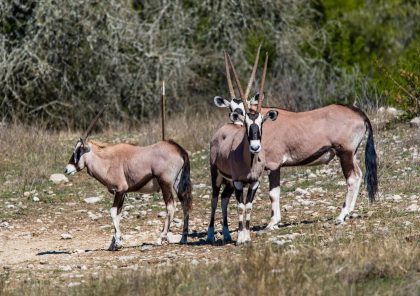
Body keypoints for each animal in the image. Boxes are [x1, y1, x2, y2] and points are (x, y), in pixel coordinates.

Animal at [64, 106, 192, 250]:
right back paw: (183, 238)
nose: (67, 169)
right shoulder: (123, 193)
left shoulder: (120, 190)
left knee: (171, 206)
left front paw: (117, 242)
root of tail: (179, 150)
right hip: (178, 184)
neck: (108, 161)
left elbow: (113, 212)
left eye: (78, 151)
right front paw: (114, 242)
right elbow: (118, 214)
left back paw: (160, 238)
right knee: (185, 204)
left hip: (165, 183)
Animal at [208, 53, 278, 245]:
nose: (255, 147)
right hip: (216, 176)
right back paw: (210, 235)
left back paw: (226, 234)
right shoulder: (239, 182)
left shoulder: (254, 182)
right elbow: (240, 207)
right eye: (247, 123)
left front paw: (246, 235)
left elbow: (249, 206)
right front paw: (240, 237)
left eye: (261, 122)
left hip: (229, 183)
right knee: (215, 200)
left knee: (224, 199)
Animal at [213, 46, 378, 231]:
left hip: (345, 153)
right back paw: (348, 212)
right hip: (352, 154)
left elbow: (273, 193)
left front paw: (272, 223)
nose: (235, 118)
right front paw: (275, 221)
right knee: (359, 175)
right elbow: (274, 192)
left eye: (245, 106)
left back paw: (341, 215)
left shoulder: (273, 165)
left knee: (352, 178)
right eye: (231, 107)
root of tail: (358, 113)